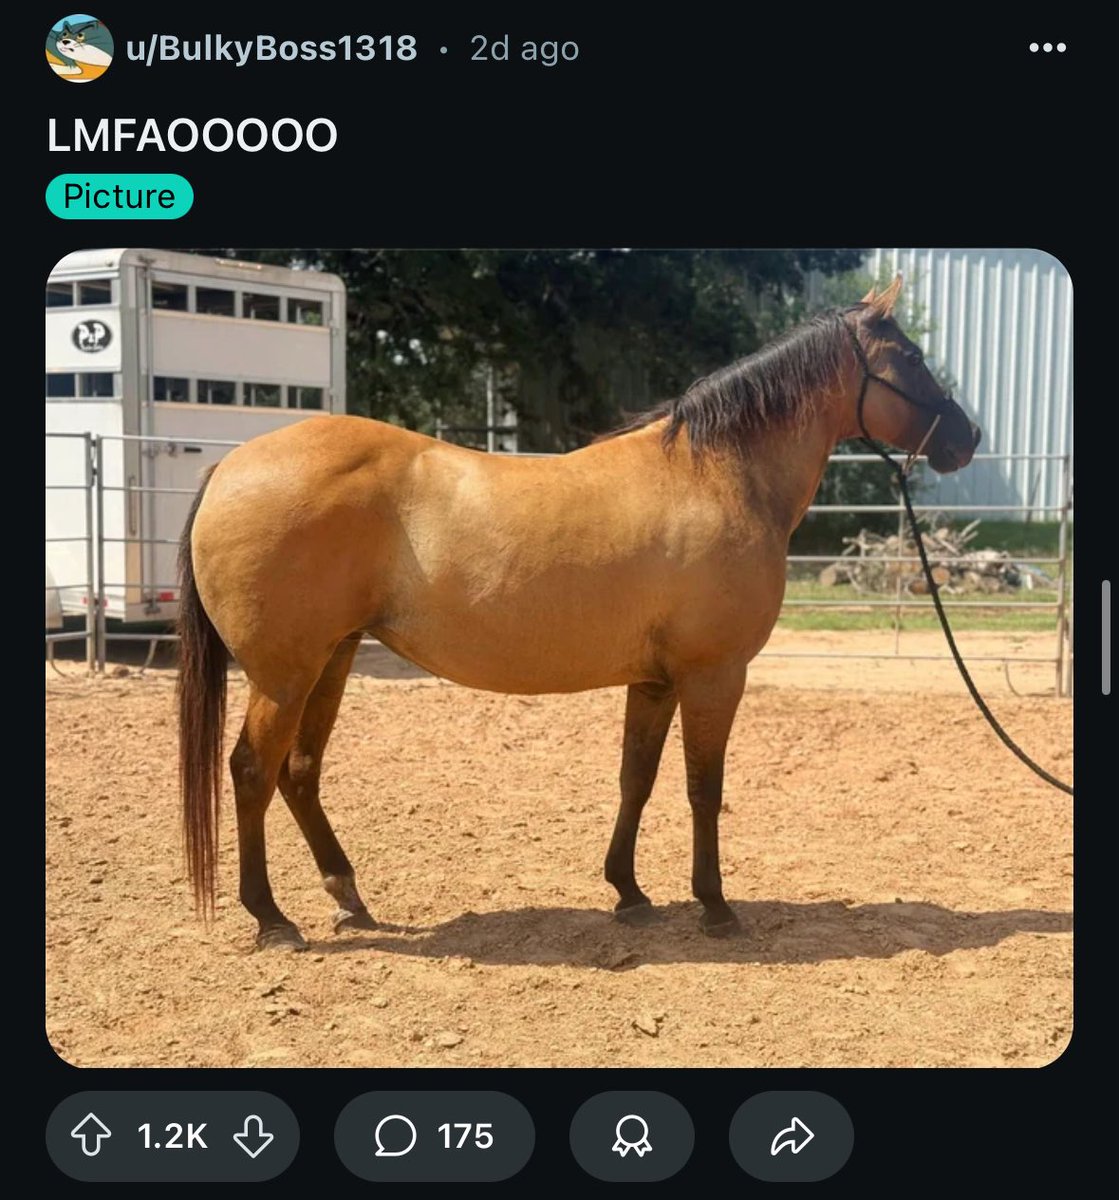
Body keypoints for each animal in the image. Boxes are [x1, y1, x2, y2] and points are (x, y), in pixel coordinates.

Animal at [177, 274, 981, 950]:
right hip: (286, 674)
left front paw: (629, 892)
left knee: (300, 771)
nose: (967, 438)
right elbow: (703, 788)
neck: (715, 474)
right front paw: (715, 906)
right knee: (252, 770)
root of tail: (231, 465)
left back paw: (347, 894)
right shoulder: (714, 675)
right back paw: (272, 919)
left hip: (333, 660)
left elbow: (636, 779)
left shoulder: (654, 681)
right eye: (911, 358)